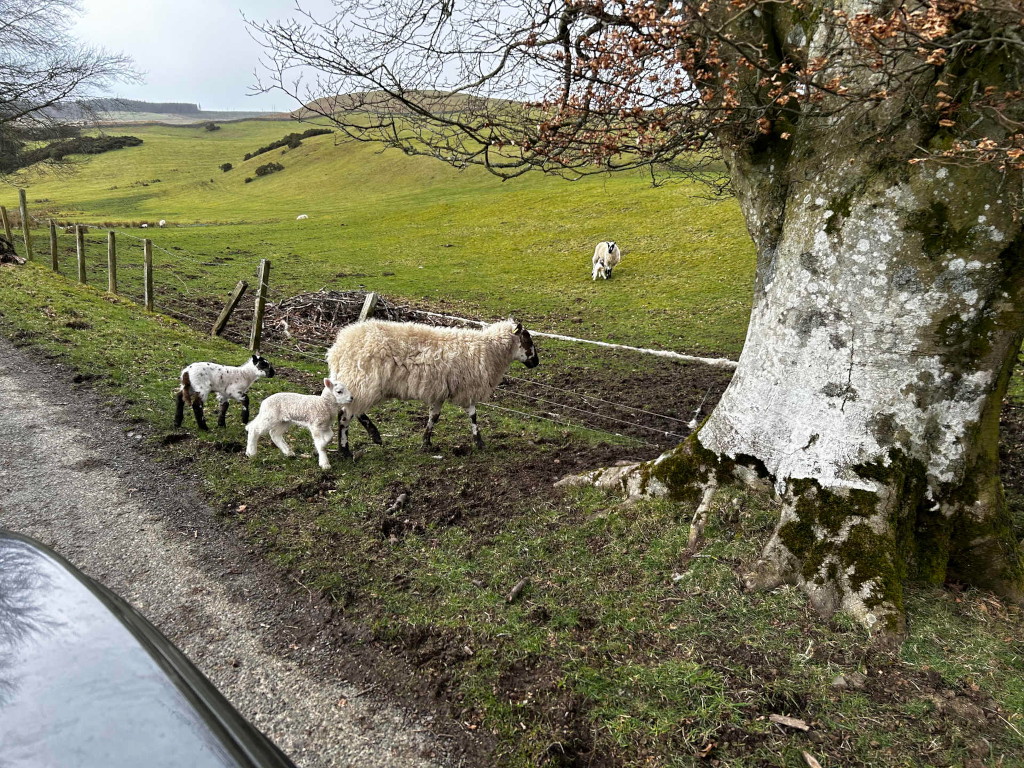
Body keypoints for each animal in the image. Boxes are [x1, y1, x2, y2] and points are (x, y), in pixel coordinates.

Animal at [326, 318, 539, 456]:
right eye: (527, 339)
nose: (536, 362)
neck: (488, 350)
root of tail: (338, 348)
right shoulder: (467, 388)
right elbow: (473, 415)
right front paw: (479, 442)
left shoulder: (440, 392)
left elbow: (434, 417)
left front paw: (426, 442)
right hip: (362, 381)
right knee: (345, 415)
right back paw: (346, 449)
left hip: (359, 383)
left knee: (352, 410)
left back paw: (372, 436)